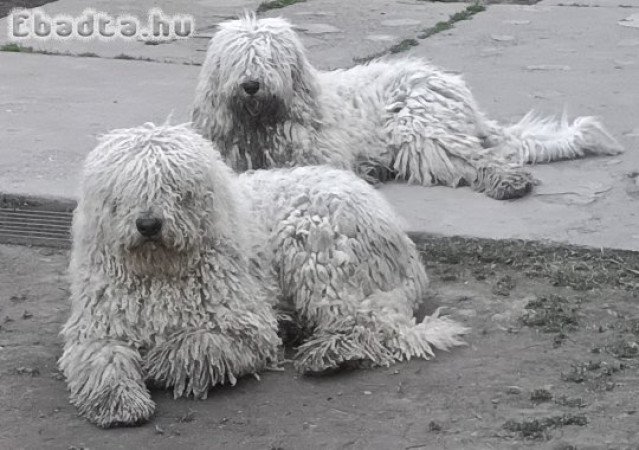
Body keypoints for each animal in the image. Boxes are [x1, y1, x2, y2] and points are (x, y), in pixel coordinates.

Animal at [60, 122, 468, 426]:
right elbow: (102, 362)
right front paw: (118, 404)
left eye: (173, 187)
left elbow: (200, 344)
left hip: (314, 249)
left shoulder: (244, 325)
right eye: (125, 190)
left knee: (369, 321)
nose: (148, 224)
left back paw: (330, 354)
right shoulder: (99, 331)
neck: (159, 270)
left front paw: (161, 362)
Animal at [191, 14, 624, 200]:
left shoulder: (324, 154)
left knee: (476, 159)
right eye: (238, 59)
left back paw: (509, 182)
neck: (262, 124)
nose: (251, 85)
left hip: (421, 131)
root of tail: (452, 86)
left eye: (269, 57)